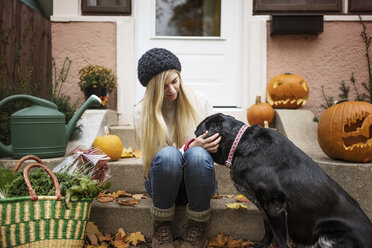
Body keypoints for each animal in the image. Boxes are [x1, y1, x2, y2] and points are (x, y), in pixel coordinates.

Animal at [195, 113, 372, 247]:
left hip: (329, 233)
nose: (191, 139)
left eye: (197, 132)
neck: (239, 143)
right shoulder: (263, 204)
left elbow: (280, 237)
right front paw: (262, 244)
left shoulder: (274, 205)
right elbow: (268, 229)